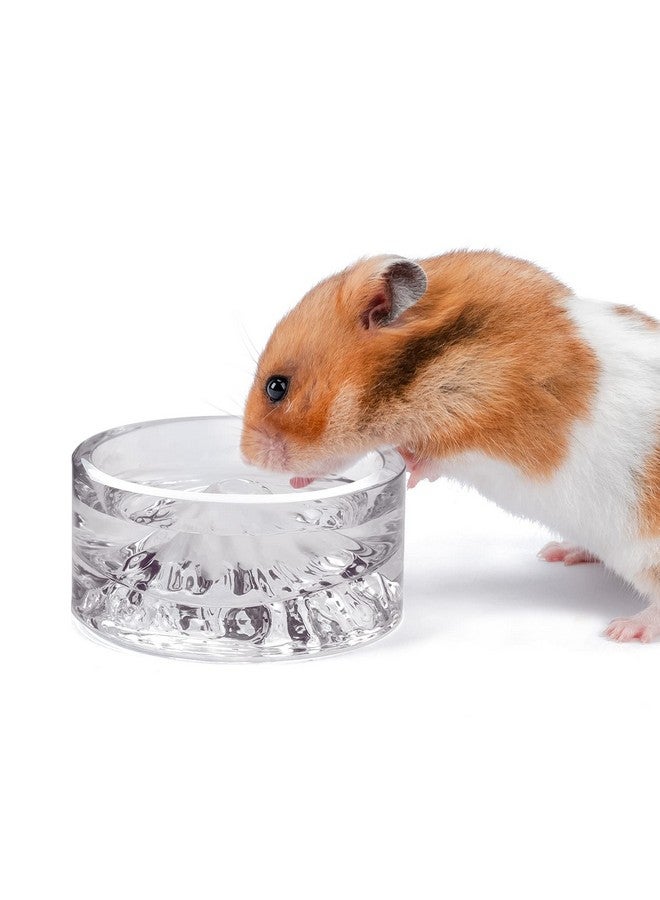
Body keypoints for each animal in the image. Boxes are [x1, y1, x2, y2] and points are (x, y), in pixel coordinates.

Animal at [240, 251, 660, 643]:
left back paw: (623, 630)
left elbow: (433, 458)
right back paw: (559, 552)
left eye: (276, 387)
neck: (429, 362)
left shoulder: (484, 424)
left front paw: (407, 471)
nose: (246, 458)